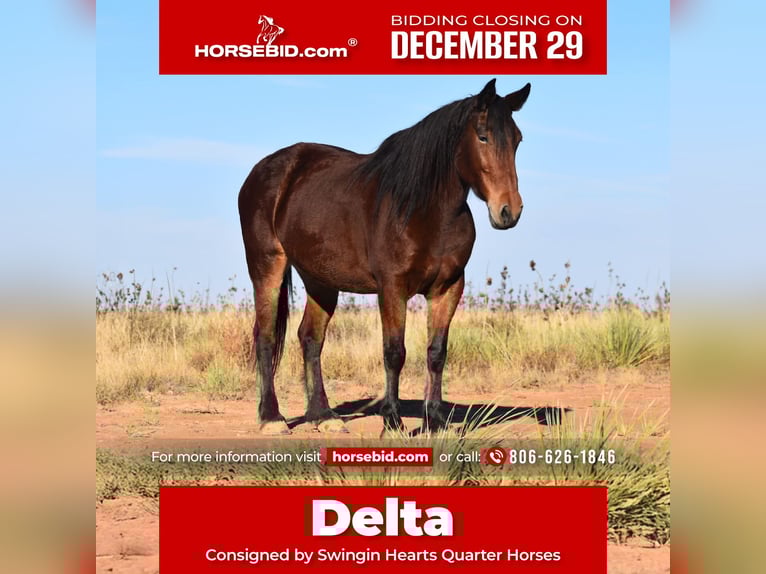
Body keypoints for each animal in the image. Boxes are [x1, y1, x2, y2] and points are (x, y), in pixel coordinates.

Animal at [238, 78, 531, 435]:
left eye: (517, 140)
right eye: (483, 135)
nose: (509, 210)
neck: (425, 210)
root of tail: (262, 172)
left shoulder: (448, 288)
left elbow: (437, 352)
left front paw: (435, 420)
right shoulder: (392, 288)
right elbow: (394, 352)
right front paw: (392, 420)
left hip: (321, 280)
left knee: (310, 338)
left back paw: (323, 416)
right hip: (267, 266)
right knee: (265, 337)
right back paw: (272, 418)